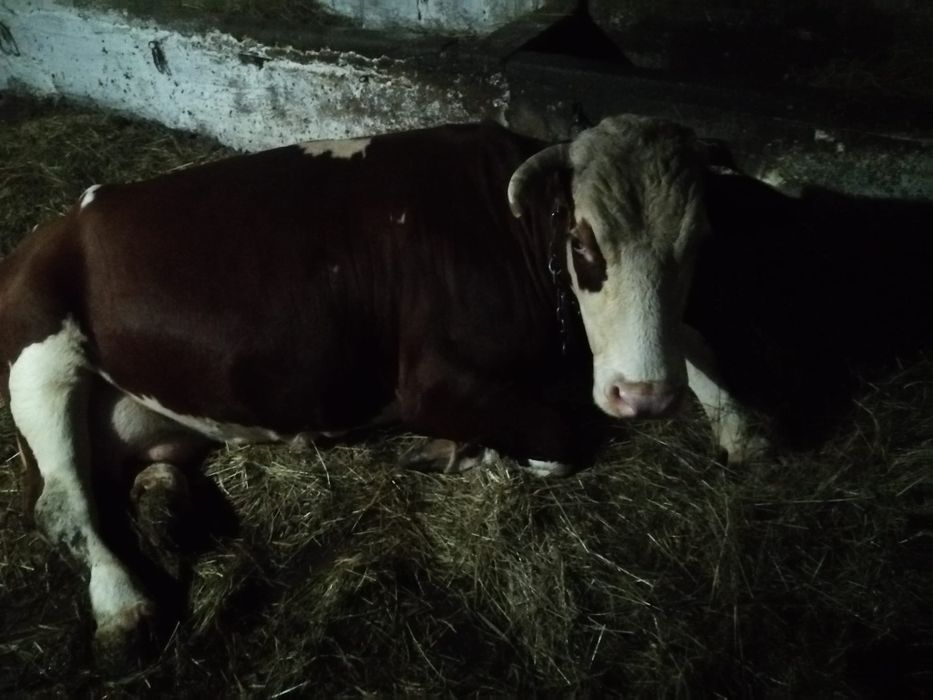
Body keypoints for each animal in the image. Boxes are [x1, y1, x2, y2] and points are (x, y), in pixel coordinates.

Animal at [0, 114, 759, 662]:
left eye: (698, 244)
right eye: (583, 245)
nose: (645, 395)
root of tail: (62, 222)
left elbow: (695, 339)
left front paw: (740, 423)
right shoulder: (433, 382)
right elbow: (566, 439)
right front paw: (466, 454)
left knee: (132, 475)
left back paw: (166, 508)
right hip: (38, 360)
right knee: (61, 504)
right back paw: (123, 609)